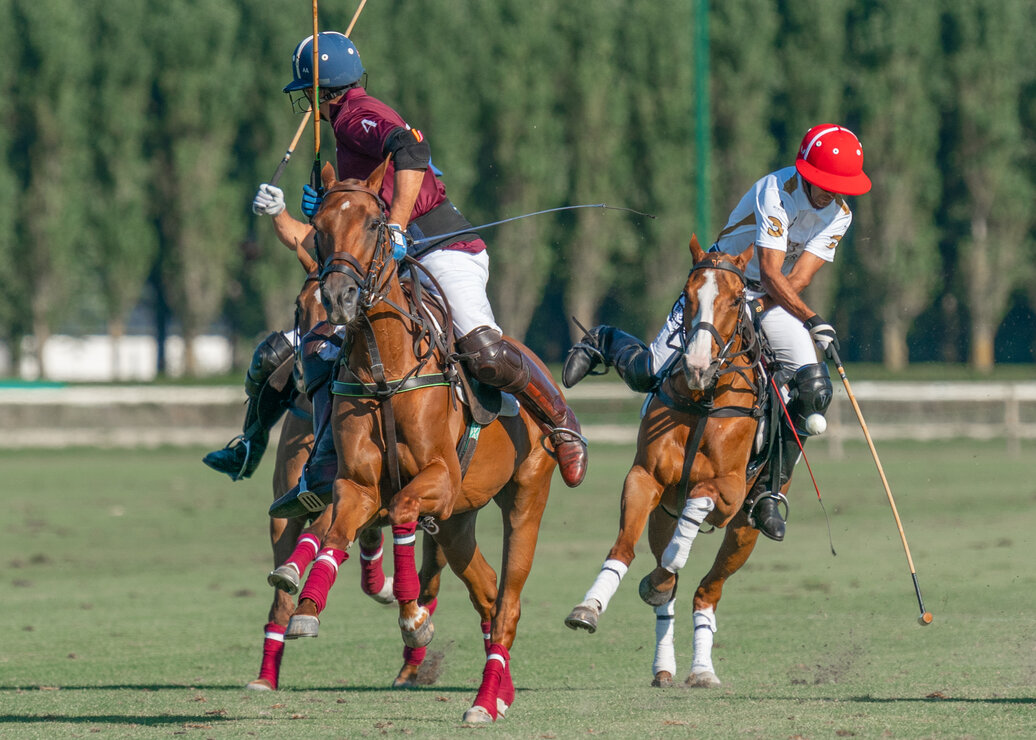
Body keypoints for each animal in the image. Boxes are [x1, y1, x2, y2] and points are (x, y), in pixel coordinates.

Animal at [281, 159, 559, 721]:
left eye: (373, 224)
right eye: (318, 228)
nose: (340, 299)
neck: (383, 369)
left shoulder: (440, 477)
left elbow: (405, 510)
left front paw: (414, 620)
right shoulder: (359, 484)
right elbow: (335, 533)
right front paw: (307, 607)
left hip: (525, 495)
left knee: (508, 602)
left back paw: (483, 703)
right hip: (458, 520)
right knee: (486, 592)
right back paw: (499, 693)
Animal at [563, 236, 774, 684]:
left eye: (736, 299)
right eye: (687, 295)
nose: (696, 366)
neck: (704, 399)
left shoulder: (729, 495)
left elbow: (691, 522)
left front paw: (659, 576)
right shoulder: (645, 477)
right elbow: (626, 549)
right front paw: (590, 607)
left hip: (745, 530)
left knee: (707, 590)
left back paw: (702, 669)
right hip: (662, 514)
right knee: (671, 593)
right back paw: (664, 666)